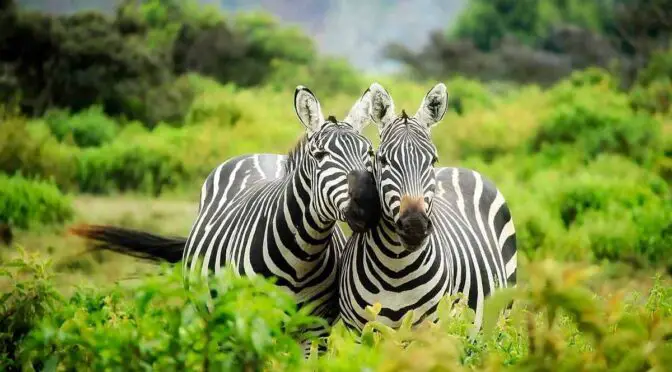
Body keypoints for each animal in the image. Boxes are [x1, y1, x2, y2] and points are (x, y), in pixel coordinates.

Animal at [72, 85, 384, 348]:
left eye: (369, 153)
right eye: (319, 156)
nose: (368, 205)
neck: (302, 256)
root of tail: (260, 154)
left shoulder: (315, 330)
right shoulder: (251, 322)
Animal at [338, 83, 516, 332]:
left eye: (432, 160)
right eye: (382, 160)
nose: (414, 226)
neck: (396, 270)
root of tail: (460, 169)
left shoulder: (430, 329)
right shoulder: (358, 331)